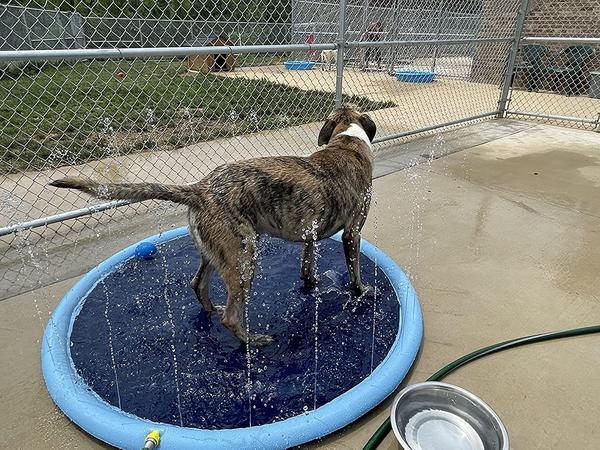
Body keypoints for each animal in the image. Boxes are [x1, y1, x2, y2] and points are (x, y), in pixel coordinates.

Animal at [50, 105, 376, 344]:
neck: (348, 140)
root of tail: (200, 189)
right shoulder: (352, 234)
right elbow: (355, 273)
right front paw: (362, 292)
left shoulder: (310, 236)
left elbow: (307, 266)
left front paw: (311, 284)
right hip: (243, 258)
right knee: (231, 316)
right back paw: (252, 341)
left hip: (217, 252)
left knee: (198, 284)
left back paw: (210, 309)